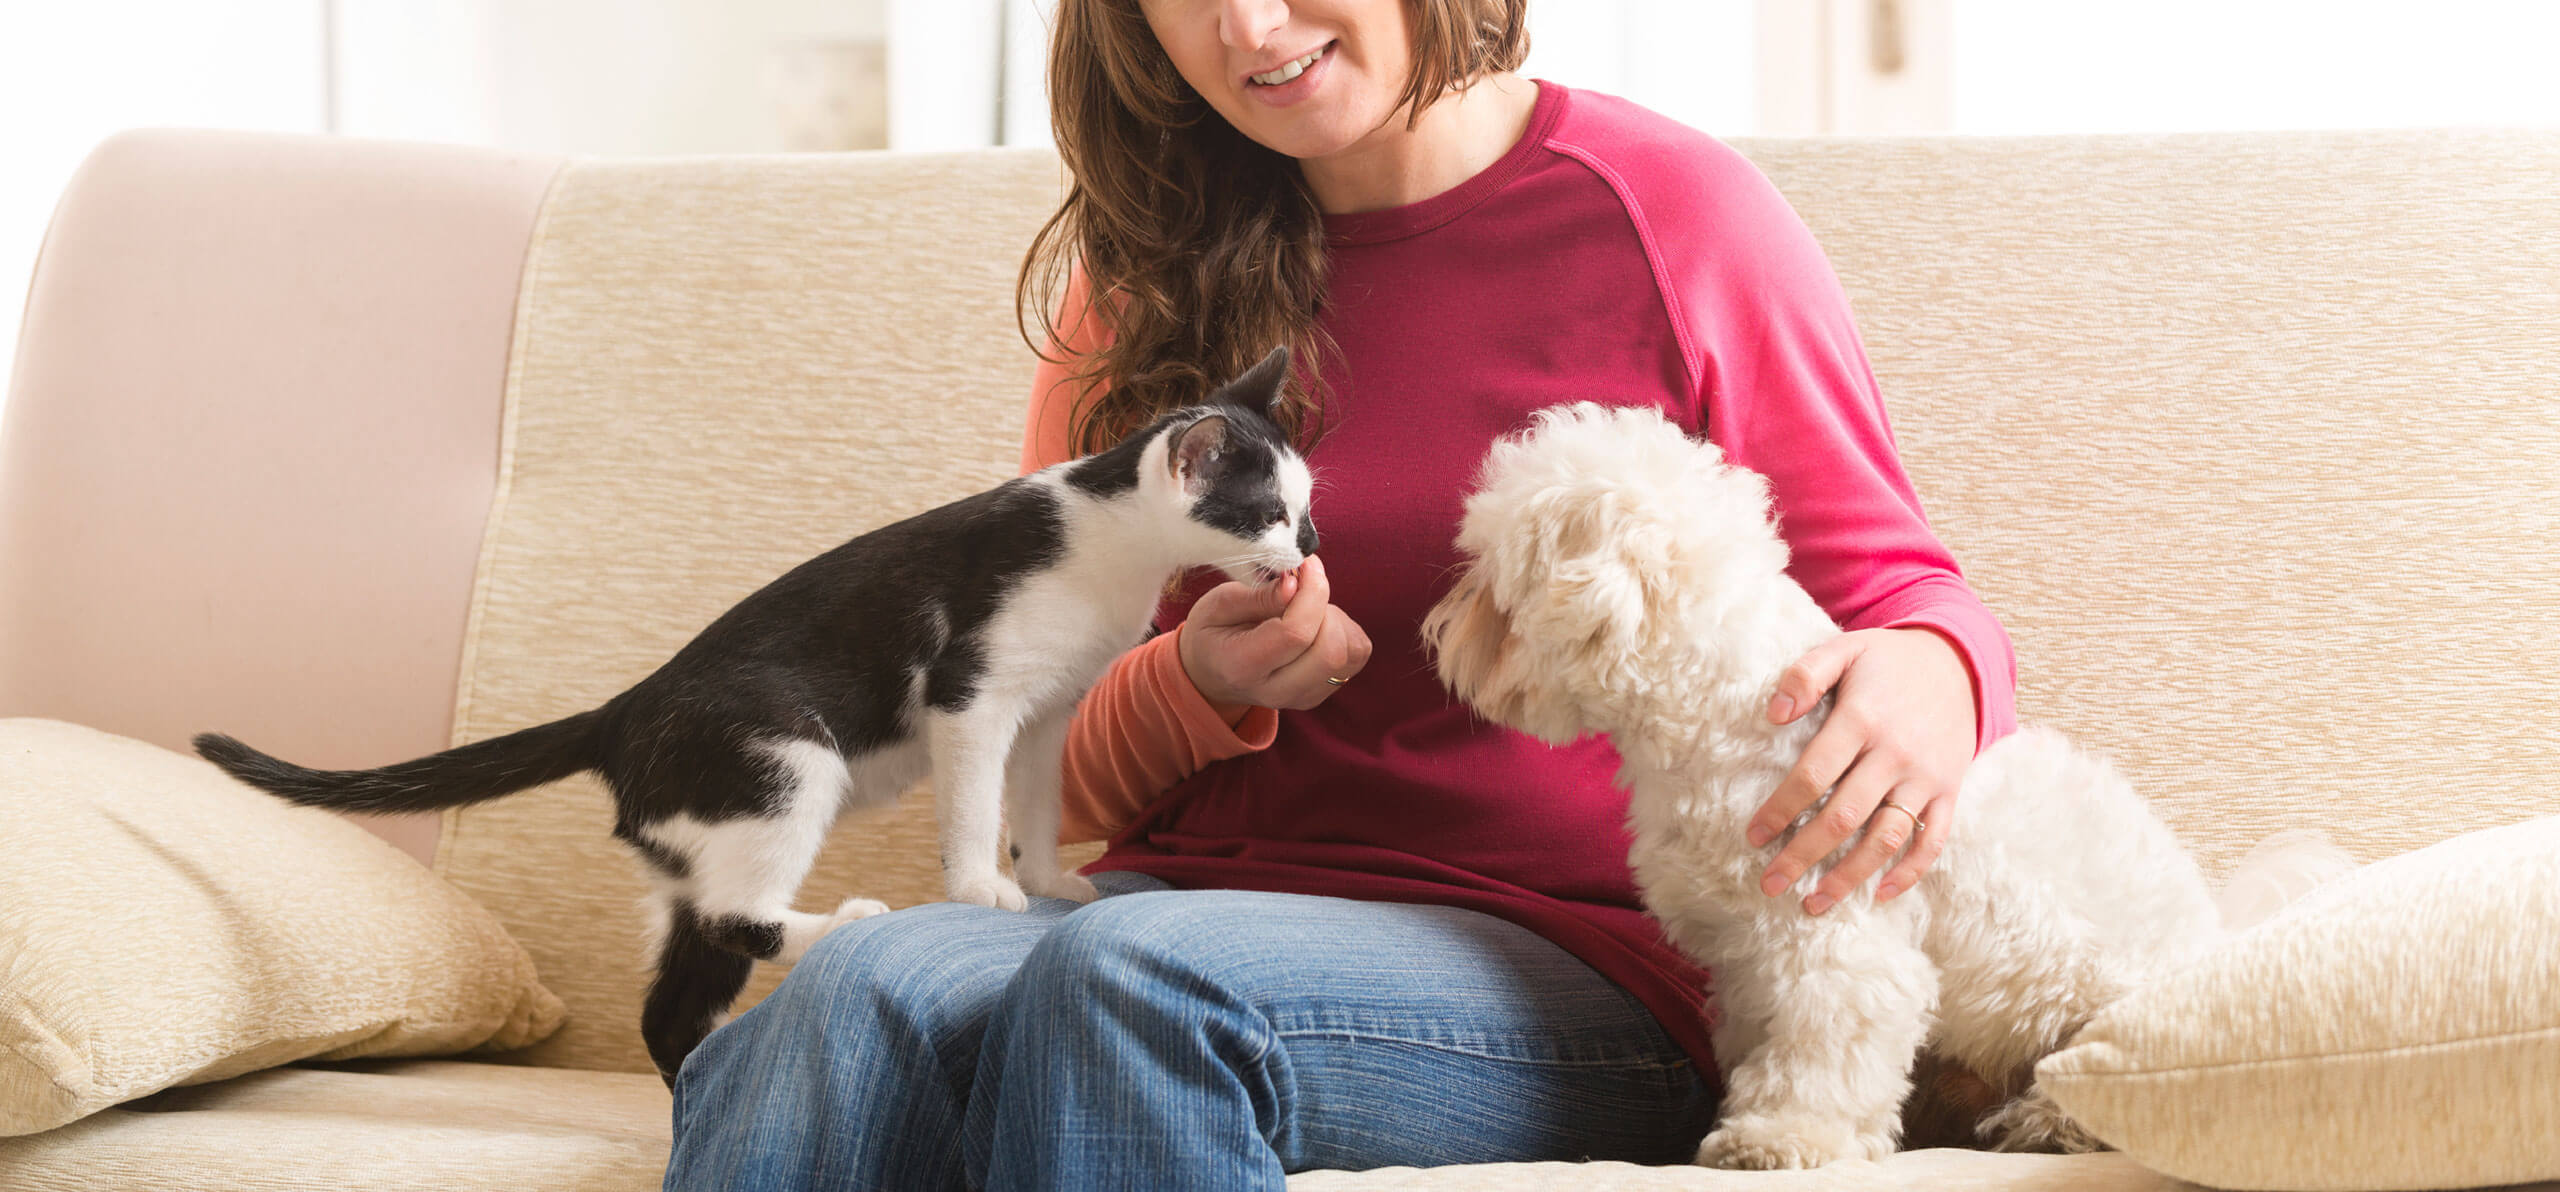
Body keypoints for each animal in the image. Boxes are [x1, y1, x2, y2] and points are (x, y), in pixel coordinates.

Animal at [194, 345, 1320, 1079]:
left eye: (1304, 508)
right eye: (1263, 512)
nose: (1306, 549)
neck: (1110, 548)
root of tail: (622, 711)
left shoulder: (1049, 714)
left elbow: (1035, 802)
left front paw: (1042, 877)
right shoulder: (972, 694)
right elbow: (973, 804)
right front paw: (978, 889)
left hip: (694, 848)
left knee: (677, 993)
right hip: (784, 761)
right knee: (744, 916)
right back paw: (851, 921)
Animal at [1433, 404, 2232, 1166]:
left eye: (1490, 586)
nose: (1438, 627)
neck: (1731, 715)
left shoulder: (1837, 939)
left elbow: (1820, 1057)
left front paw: (1780, 1138)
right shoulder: (1747, 959)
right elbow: (1760, 1047)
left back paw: (2047, 1124)